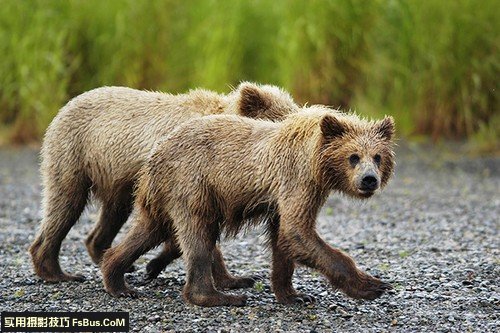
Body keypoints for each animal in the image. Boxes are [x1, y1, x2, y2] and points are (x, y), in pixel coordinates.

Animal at [29, 81, 298, 286]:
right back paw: (58, 272)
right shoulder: (188, 173)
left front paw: (154, 264)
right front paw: (232, 279)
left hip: (117, 181)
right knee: (65, 203)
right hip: (74, 153)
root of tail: (66, 105)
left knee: (113, 213)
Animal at [101, 107, 396, 306]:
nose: (369, 179)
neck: (317, 161)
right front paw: (373, 285)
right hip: (192, 184)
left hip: (165, 197)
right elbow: (298, 232)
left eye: (377, 157)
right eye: (353, 157)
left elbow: (283, 238)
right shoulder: (298, 179)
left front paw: (293, 295)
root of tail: (154, 156)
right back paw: (217, 296)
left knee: (148, 231)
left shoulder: (284, 198)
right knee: (197, 236)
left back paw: (118, 279)